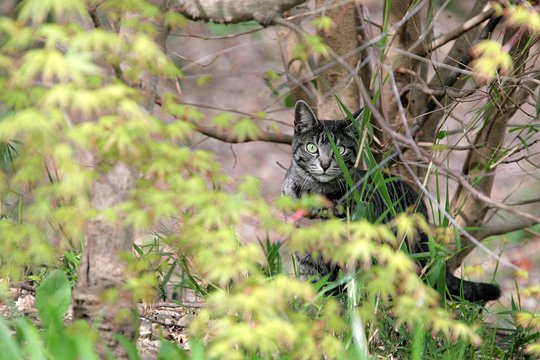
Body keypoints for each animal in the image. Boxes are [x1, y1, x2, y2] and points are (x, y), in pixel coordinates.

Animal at [282, 100, 502, 302]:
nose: (325, 164)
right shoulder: (305, 252)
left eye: (341, 150)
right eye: (312, 148)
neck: (316, 196)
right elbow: (312, 282)